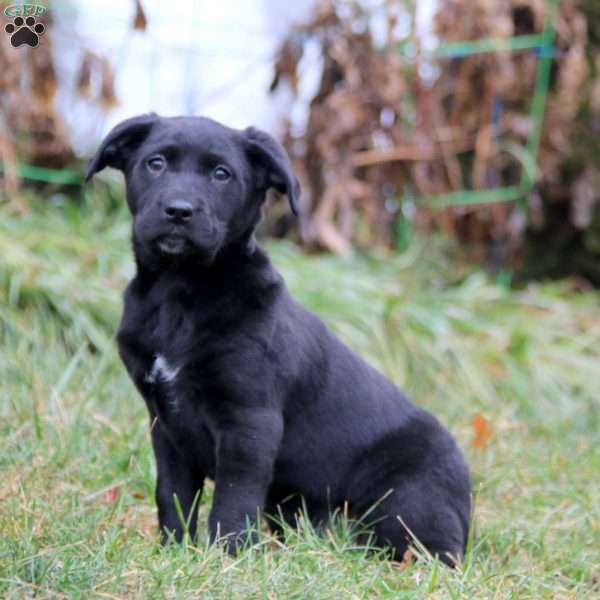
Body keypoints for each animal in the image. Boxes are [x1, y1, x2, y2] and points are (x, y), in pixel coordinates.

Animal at [85, 113, 468, 568]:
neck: (179, 292)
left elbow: (234, 499)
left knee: (432, 550)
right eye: (155, 163)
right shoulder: (166, 425)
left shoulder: (249, 420)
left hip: (408, 500)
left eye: (221, 174)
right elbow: (173, 495)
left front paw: (227, 558)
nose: (179, 211)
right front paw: (173, 551)